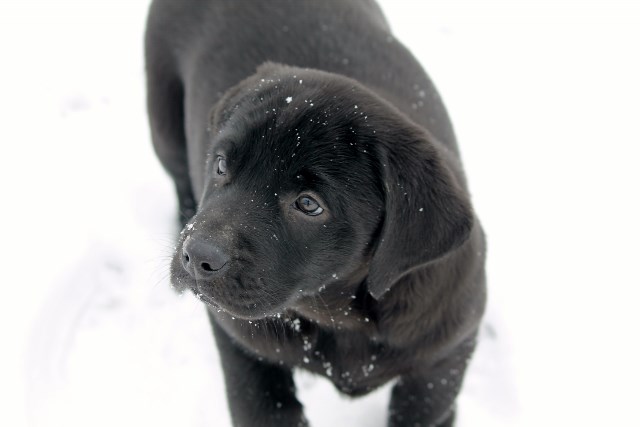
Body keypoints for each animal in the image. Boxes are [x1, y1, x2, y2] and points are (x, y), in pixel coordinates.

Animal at [145, 1, 484, 426]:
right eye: (221, 165)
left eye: (309, 204)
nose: (197, 255)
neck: (339, 315)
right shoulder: (240, 342)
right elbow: (260, 406)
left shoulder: (443, 358)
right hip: (164, 119)